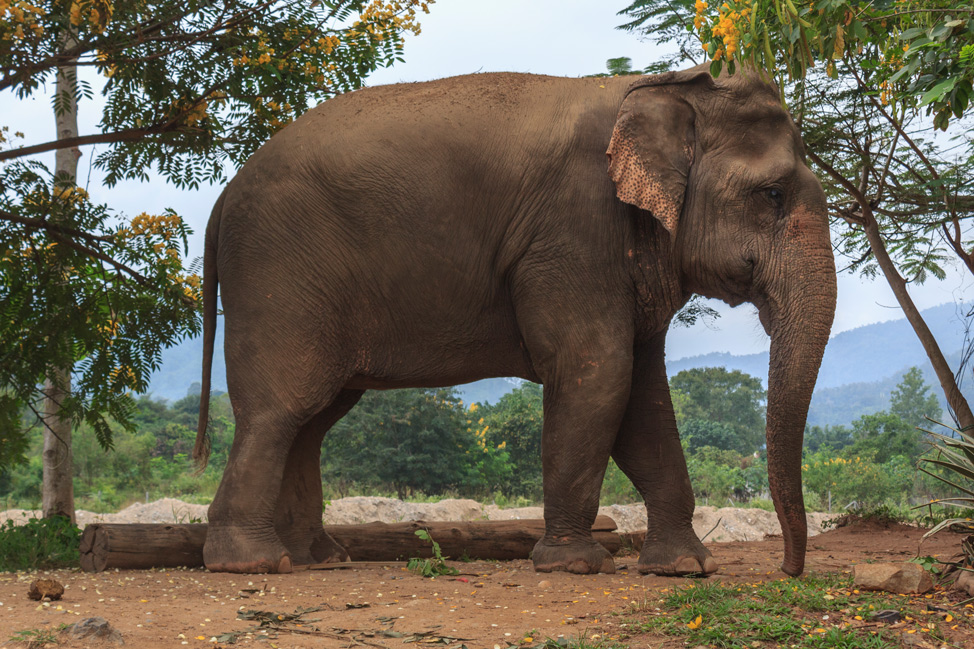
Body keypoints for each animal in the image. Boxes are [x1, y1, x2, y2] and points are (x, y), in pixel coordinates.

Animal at [193, 63, 840, 576]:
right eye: (774, 194)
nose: (788, 571)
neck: (663, 86)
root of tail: (223, 197)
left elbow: (645, 397)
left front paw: (685, 568)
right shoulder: (572, 231)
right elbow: (599, 374)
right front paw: (575, 566)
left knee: (314, 418)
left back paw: (319, 559)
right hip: (277, 276)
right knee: (280, 409)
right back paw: (254, 562)